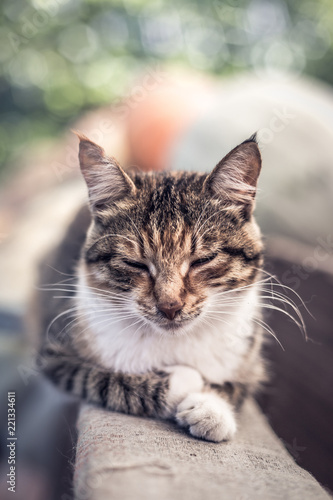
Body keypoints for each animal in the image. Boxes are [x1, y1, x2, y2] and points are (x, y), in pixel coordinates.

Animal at [35, 132, 264, 442]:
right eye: (135, 263)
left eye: (203, 260)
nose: (170, 306)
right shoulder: (55, 357)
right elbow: (103, 380)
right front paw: (183, 381)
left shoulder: (251, 363)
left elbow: (234, 386)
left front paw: (210, 409)